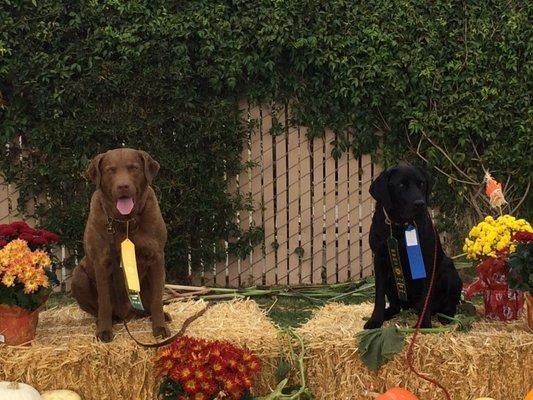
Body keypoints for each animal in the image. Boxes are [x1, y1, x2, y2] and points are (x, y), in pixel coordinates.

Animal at [71, 148, 169, 342]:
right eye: (111, 170)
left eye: (134, 168)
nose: (123, 186)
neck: (126, 222)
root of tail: (128, 313)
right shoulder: (101, 261)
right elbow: (104, 301)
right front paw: (104, 331)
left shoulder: (156, 257)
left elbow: (157, 299)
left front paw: (160, 327)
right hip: (78, 276)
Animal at [364, 165, 460, 328]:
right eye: (401, 185)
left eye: (421, 183)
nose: (420, 204)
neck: (400, 226)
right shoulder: (380, 259)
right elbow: (379, 295)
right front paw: (375, 320)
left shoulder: (427, 261)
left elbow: (426, 295)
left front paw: (424, 324)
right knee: (396, 306)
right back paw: (388, 314)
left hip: (449, 269)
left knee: (449, 303)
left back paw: (445, 316)